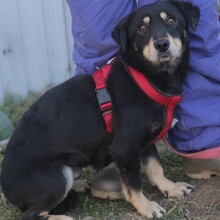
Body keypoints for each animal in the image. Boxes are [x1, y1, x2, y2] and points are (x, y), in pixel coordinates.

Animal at [0, 0, 199, 219]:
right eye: (141, 28)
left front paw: (170, 187)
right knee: (31, 214)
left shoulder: (145, 141)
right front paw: (146, 207)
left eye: (171, 20)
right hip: (56, 176)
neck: (144, 78)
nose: (162, 44)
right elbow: (134, 184)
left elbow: (156, 168)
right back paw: (63, 216)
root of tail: (6, 190)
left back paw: (79, 184)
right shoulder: (125, 148)